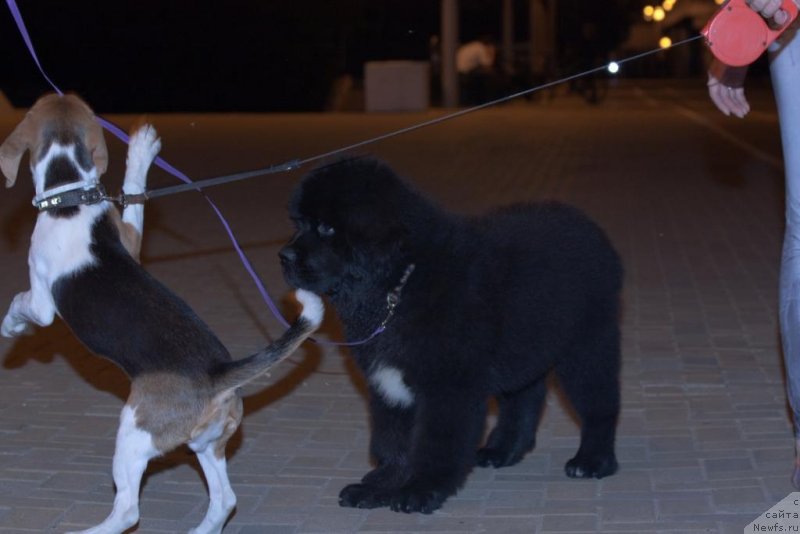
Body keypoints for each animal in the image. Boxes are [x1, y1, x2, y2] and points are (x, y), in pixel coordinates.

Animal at [1, 93, 324, 534]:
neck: (70, 200)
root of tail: (216, 373)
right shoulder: (130, 238)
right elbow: (134, 195)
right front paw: (142, 152)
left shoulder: (41, 301)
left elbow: (19, 301)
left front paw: (9, 327)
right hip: (207, 444)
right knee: (225, 500)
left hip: (134, 434)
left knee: (127, 510)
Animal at [282, 158, 624, 516]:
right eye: (300, 223)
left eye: (327, 229)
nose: (284, 257)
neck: (401, 283)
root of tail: (589, 227)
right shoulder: (388, 383)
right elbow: (393, 440)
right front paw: (379, 486)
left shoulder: (448, 386)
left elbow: (436, 443)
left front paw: (420, 490)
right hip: (525, 348)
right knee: (523, 400)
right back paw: (502, 451)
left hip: (586, 346)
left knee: (599, 403)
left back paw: (593, 461)